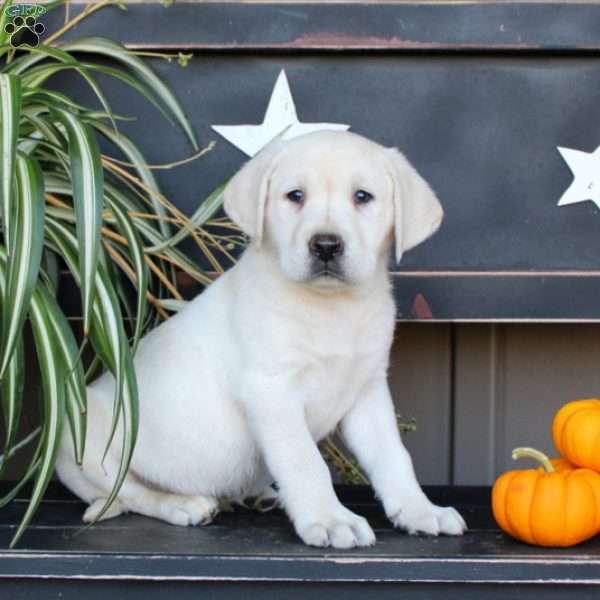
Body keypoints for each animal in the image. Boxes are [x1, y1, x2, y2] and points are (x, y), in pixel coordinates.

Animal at [56, 131, 466, 548]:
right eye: (295, 196)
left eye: (363, 196)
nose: (326, 245)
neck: (331, 308)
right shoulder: (271, 391)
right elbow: (305, 461)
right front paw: (331, 519)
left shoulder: (368, 391)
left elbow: (394, 457)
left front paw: (419, 510)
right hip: (89, 443)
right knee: (130, 494)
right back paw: (184, 504)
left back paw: (256, 495)